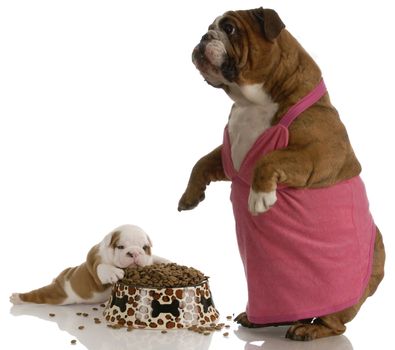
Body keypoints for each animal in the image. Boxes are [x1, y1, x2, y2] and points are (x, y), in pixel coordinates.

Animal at [10, 226, 169, 304]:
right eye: (121, 247)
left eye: (144, 248)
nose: (135, 253)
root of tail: (59, 277)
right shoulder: (95, 271)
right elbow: (100, 267)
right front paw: (112, 272)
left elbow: (155, 258)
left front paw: (166, 262)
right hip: (56, 294)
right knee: (37, 295)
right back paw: (17, 298)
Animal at [178, 7, 386, 342]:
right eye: (209, 27)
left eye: (230, 28)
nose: (204, 36)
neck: (252, 101)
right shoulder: (227, 158)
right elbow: (202, 161)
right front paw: (190, 196)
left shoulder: (315, 156)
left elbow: (270, 159)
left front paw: (259, 196)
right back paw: (259, 318)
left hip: (340, 305)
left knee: (335, 324)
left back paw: (308, 328)